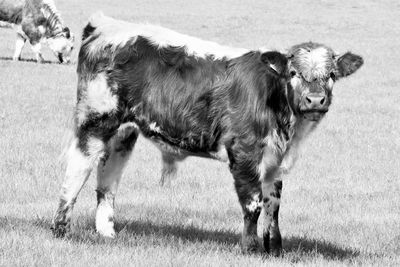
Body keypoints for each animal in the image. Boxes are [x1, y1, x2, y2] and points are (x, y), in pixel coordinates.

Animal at [50, 13, 362, 258]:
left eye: (332, 75)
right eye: (294, 72)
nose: (315, 100)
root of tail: (104, 24)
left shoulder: (274, 161)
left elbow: (273, 206)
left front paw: (274, 249)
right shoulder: (244, 152)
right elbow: (253, 204)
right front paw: (249, 249)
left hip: (123, 132)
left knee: (108, 181)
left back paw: (106, 233)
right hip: (95, 121)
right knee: (77, 170)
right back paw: (61, 230)